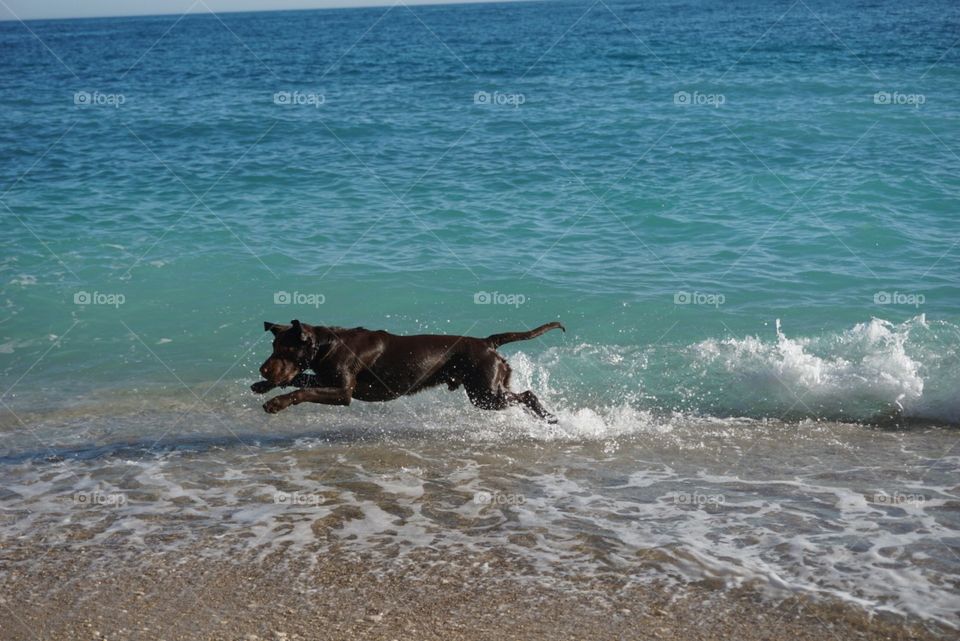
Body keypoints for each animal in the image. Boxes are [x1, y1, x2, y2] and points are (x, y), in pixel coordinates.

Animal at [253, 320, 564, 420]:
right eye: (273, 348)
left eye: (285, 351)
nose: (263, 369)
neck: (327, 345)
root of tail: (487, 342)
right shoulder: (325, 376)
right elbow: (300, 378)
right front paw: (262, 386)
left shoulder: (342, 391)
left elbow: (303, 390)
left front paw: (275, 403)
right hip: (488, 390)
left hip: (485, 393)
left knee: (528, 395)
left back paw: (548, 418)